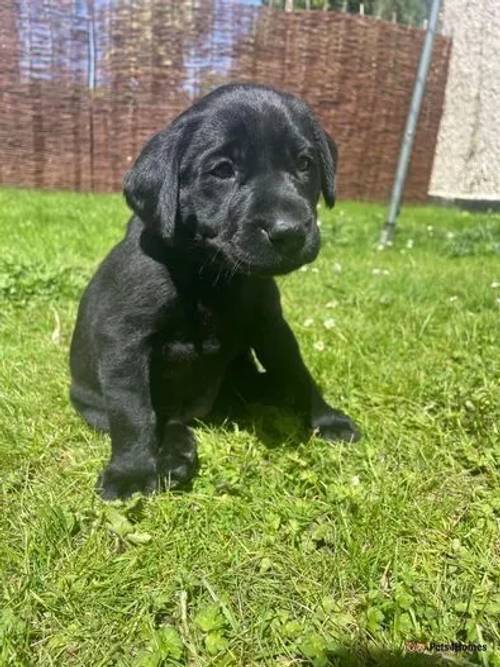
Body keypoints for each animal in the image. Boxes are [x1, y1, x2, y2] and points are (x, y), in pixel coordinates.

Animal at [70, 83, 360, 498]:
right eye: (222, 170)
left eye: (305, 163)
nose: (289, 231)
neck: (210, 273)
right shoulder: (123, 340)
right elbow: (133, 412)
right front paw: (129, 472)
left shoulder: (272, 329)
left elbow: (297, 373)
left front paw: (325, 418)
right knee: (162, 420)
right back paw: (175, 457)